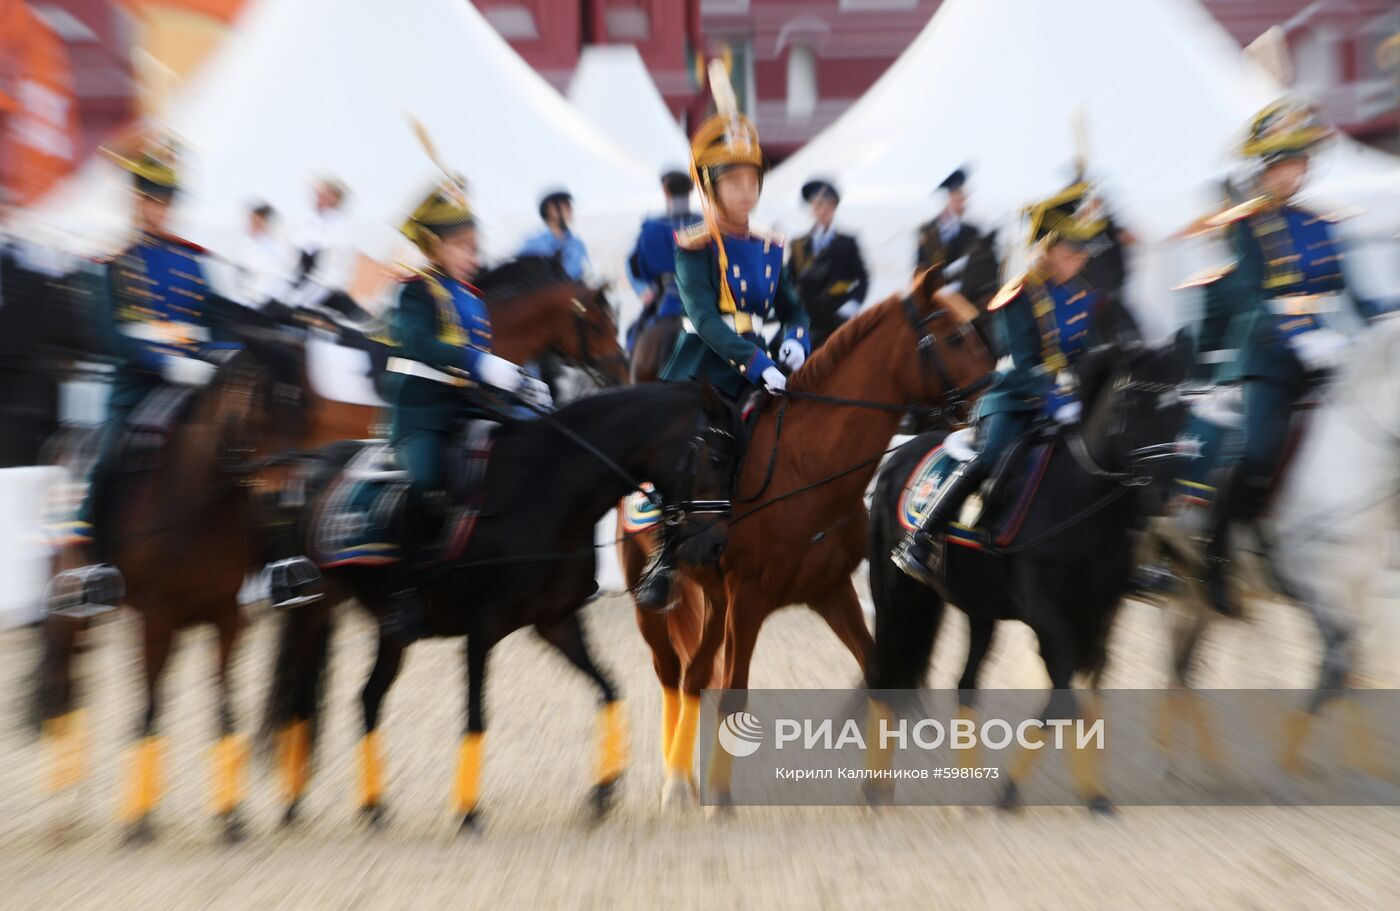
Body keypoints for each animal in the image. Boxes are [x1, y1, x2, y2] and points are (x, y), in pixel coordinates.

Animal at [263, 383, 744, 834]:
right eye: (717, 458)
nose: (715, 547)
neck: (543, 488)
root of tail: (313, 460)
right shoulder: (483, 629)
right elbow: (476, 717)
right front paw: (468, 812)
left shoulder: (556, 622)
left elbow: (609, 688)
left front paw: (603, 792)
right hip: (313, 610)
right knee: (299, 696)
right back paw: (293, 802)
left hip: (388, 629)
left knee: (368, 696)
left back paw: (373, 806)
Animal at [616, 271, 996, 806]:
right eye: (956, 336)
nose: (995, 402)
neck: (804, 466)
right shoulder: (747, 600)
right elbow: (734, 693)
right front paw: (721, 798)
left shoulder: (829, 590)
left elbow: (879, 672)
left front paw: (879, 788)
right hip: (651, 600)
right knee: (672, 674)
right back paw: (676, 782)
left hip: (712, 598)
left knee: (694, 676)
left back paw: (683, 776)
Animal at [868, 334, 1187, 811]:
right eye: (1132, 402)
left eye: (1182, 404)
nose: (1166, 493)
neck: (1078, 495)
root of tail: (900, 450)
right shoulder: (1046, 614)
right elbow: (1065, 693)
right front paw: (1014, 790)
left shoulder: (1101, 611)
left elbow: (1079, 689)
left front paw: (1090, 793)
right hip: (894, 593)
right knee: (882, 672)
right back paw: (876, 788)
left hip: (978, 606)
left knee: (965, 682)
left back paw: (968, 788)